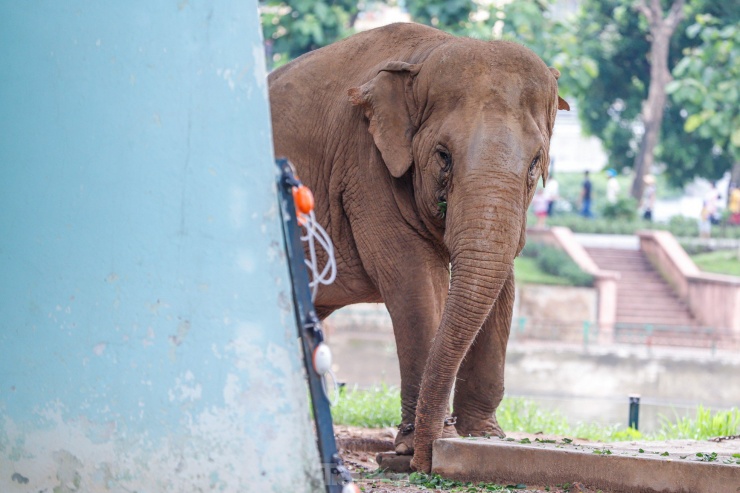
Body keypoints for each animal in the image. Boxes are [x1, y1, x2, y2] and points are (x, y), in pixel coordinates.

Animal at [268, 21, 568, 470]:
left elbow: (502, 285)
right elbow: (417, 284)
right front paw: (420, 444)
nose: (406, 462)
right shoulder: (364, 168)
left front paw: (483, 437)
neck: (427, 52)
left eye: (536, 162)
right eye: (443, 156)